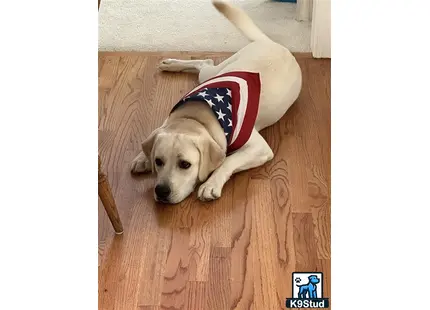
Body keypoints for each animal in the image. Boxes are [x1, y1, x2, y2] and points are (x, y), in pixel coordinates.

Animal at [131, 0, 302, 203]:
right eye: (158, 161)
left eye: (185, 164)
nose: (161, 191)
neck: (195, 117)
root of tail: (271, 42)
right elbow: (156, 132)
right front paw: (143, 157)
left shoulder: (259, 148)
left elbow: (228, 160)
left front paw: (211, 184)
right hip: (214, 72)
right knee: (204, 62)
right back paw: (171, 64)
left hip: (211, 72)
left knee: (205, 62)